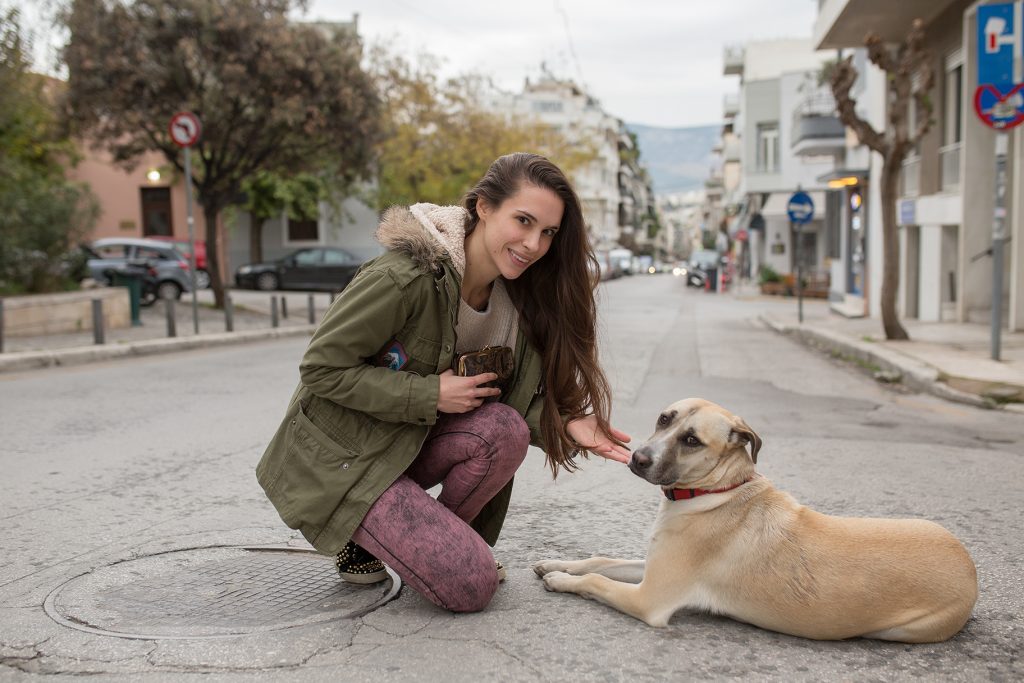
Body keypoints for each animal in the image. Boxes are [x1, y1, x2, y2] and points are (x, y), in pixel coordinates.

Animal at [536, 397, 974, 643]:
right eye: (664, 419)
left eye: (691, 440)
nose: (637, 459)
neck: (715, 491)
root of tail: (970, 568)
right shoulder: (653, 567)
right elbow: (602, 561)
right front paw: (556, 564)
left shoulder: (650, 598)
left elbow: (597, 580)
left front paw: (560, 580)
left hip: (904, 628)